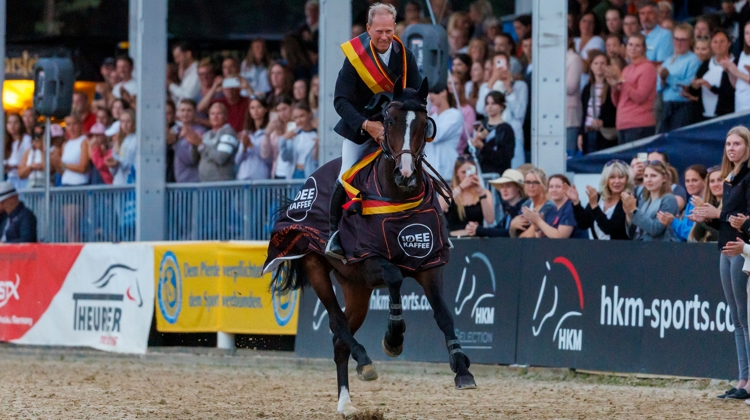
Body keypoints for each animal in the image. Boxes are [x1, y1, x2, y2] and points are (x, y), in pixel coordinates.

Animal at [266, 79, 476, 416]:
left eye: (423, 123)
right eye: (389, 121)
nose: (406, 175)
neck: (398, 197)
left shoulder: (429, 261)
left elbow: (443, 313)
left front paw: (462, 368)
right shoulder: (368, 258)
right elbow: (394, 277)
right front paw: (393, 338)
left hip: (356, 288)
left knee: (340, 340)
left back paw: (346, 403)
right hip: (317, 266)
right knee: (337, 323)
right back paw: (364, 362)